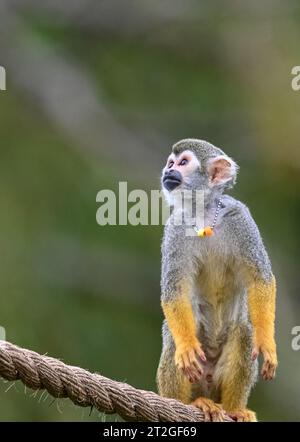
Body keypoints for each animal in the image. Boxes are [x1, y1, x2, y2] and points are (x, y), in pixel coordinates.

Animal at [157, 139, 276, 422]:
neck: (203, 212)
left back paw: (234, 410)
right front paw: (186, 347)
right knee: (173, 337)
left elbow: (260, 278)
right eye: (171, 162)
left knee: (244, 331)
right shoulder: (175, 227)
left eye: (183, 163)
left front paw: (266, 342)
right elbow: (174, 290)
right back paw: (191, 403)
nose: (168, 171)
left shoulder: (240, 217)